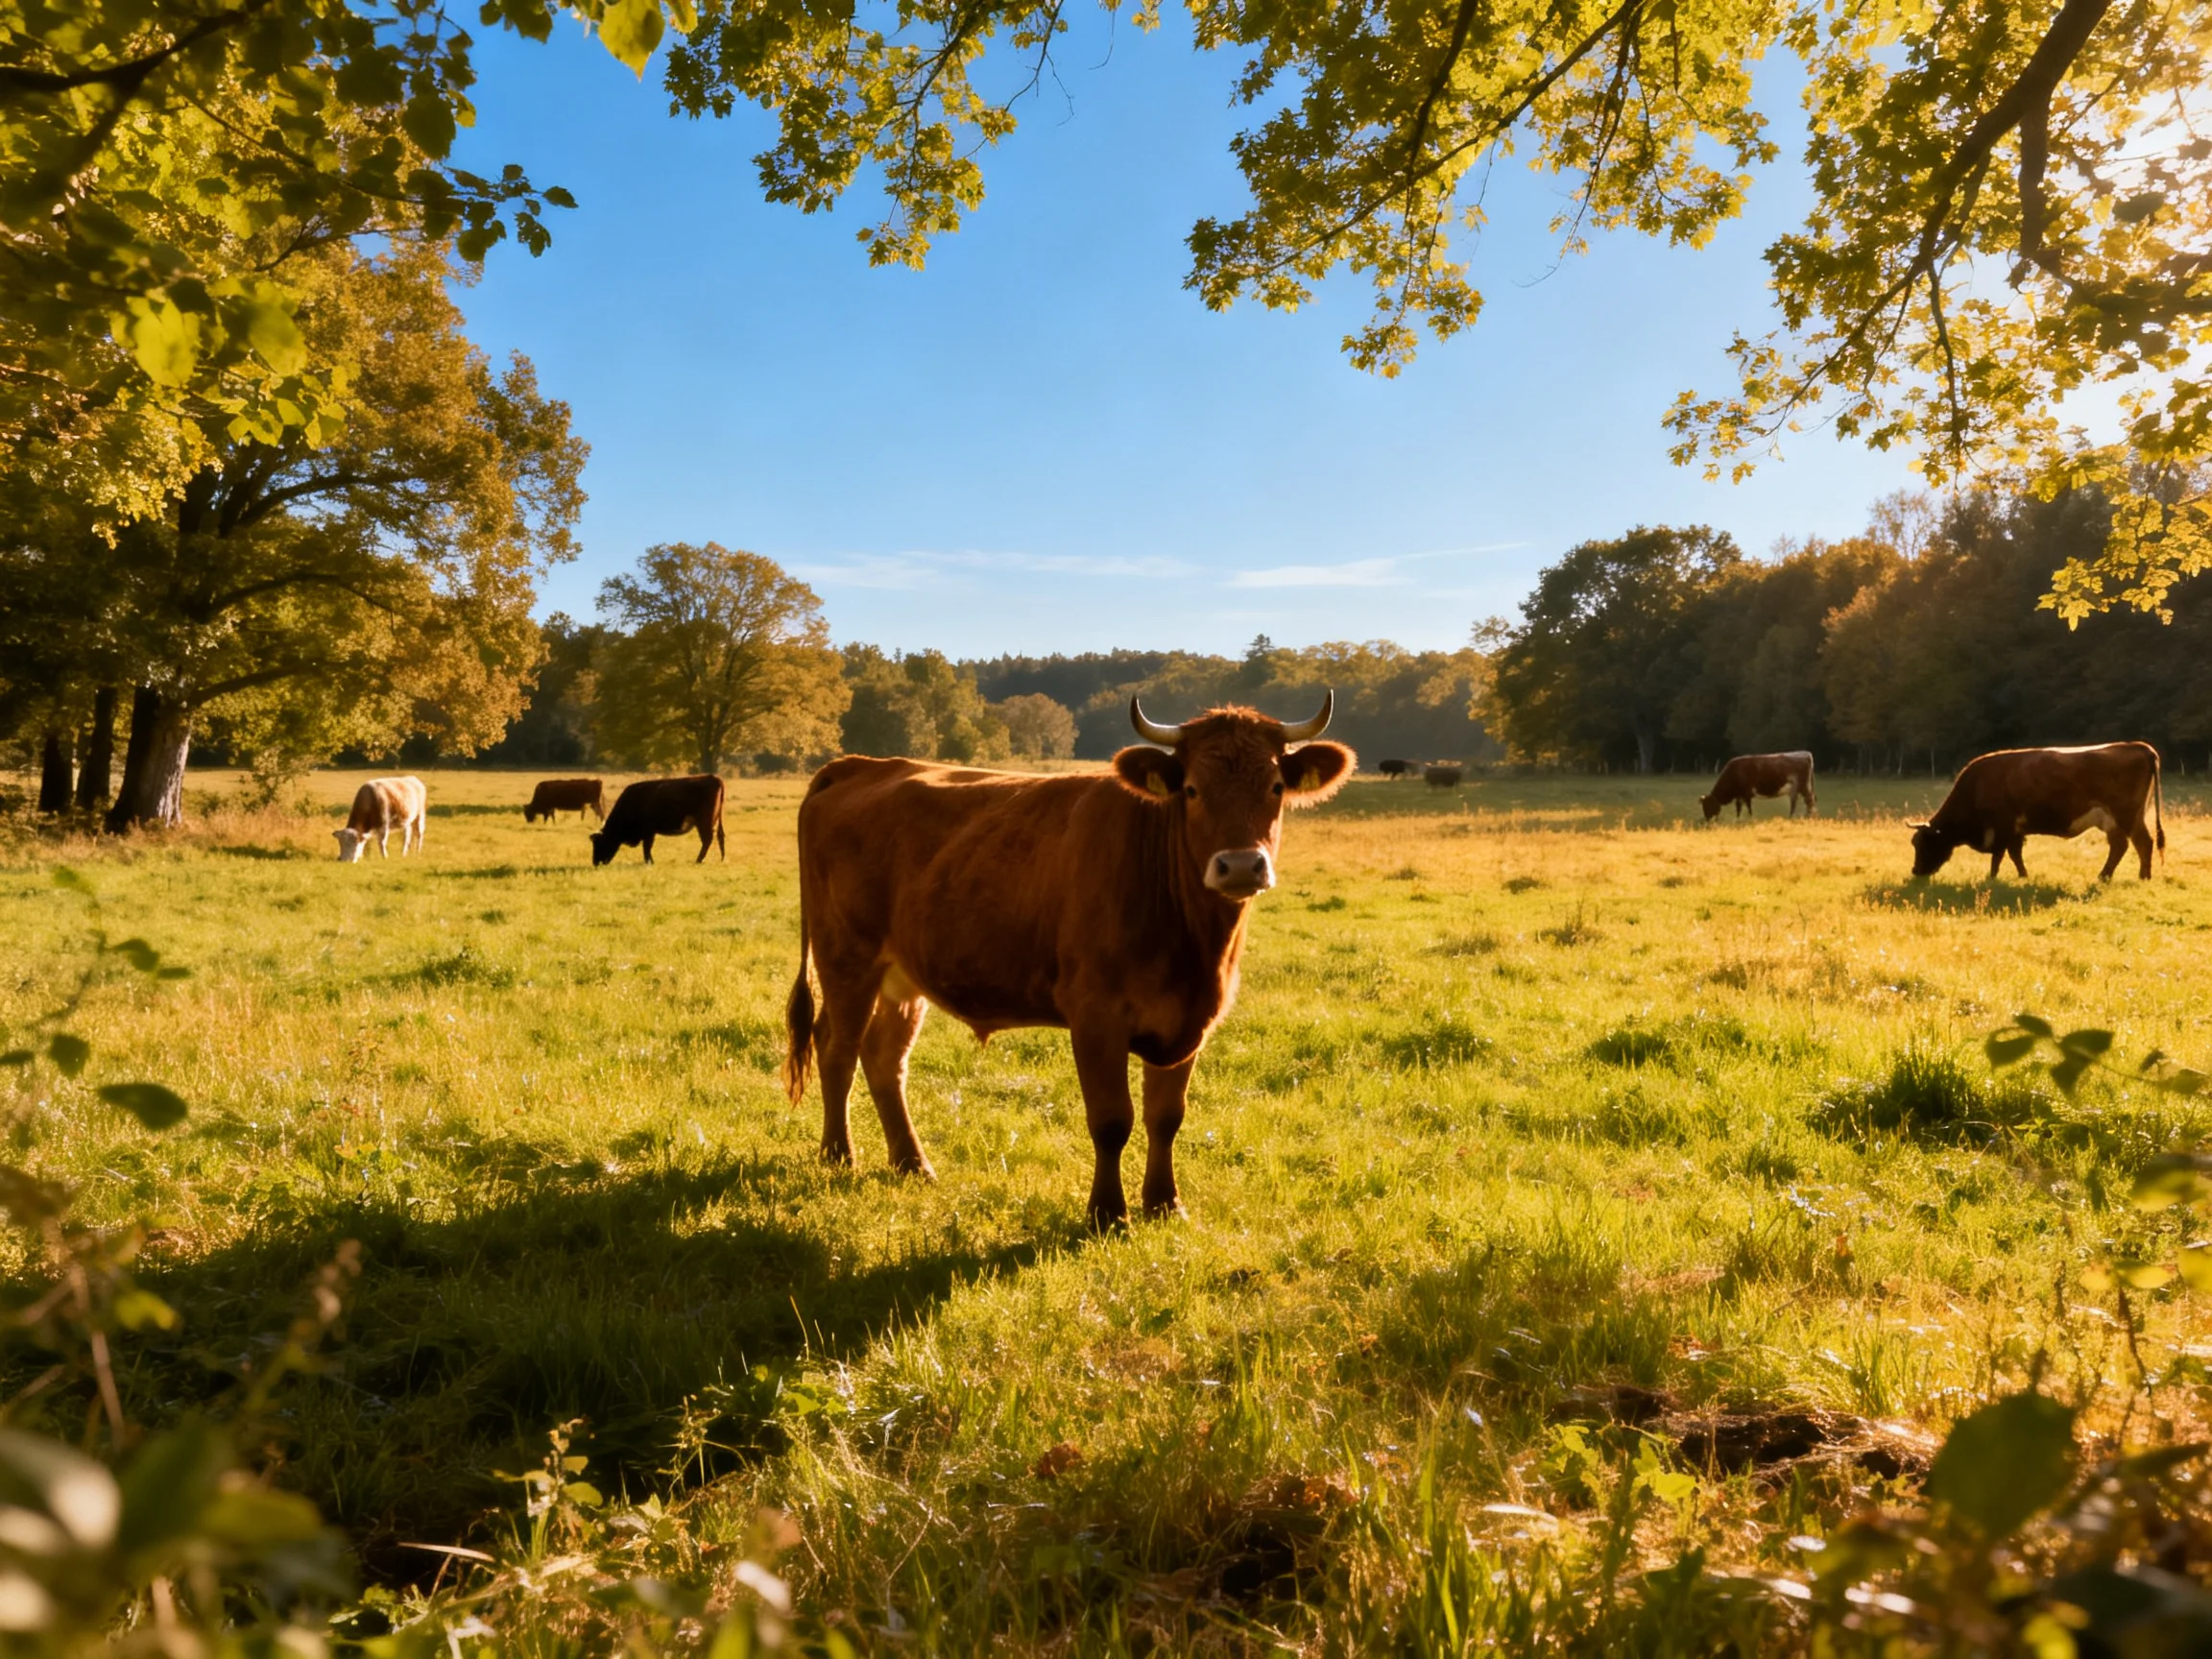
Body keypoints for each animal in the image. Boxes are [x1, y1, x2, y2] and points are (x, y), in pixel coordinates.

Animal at [589, 775, 726, 866]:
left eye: (600, 843)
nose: (595, 863)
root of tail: (713, 777)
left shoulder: (648, 831)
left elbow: (647, 847)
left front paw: (649, 861)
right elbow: (647, 847)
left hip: (704, 822)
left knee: (707, 839)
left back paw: (698, 860)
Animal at [784, 695, 1354, 1227]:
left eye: (1275, 787)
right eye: (1191, 790)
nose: (1239, 866)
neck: (1194, 946)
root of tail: (863, 764)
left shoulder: (1191, 1019)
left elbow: (1166, 1117)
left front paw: (1165, 1204)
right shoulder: (1095, 1014)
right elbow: (1111, 1119)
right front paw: (1107, 1213)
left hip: (901, 975)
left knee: (884, 1058)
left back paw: (912, 1163)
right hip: (846, 957)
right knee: (837, 1049)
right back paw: (839, 1156)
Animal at [1909, 743, 2165, 881]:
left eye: (1925, 843)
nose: (1915, 871)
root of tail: (2136, 746)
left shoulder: (2003, 827)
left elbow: (1999, 855)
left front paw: (1991, 878)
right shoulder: (2015, 831)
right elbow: (2014, 854)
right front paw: (2023, 875)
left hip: (2125, 815)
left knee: (2137, 843)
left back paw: (2135, 876)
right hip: (2122, 819)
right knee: (2127, 845)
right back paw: (2114, 876)